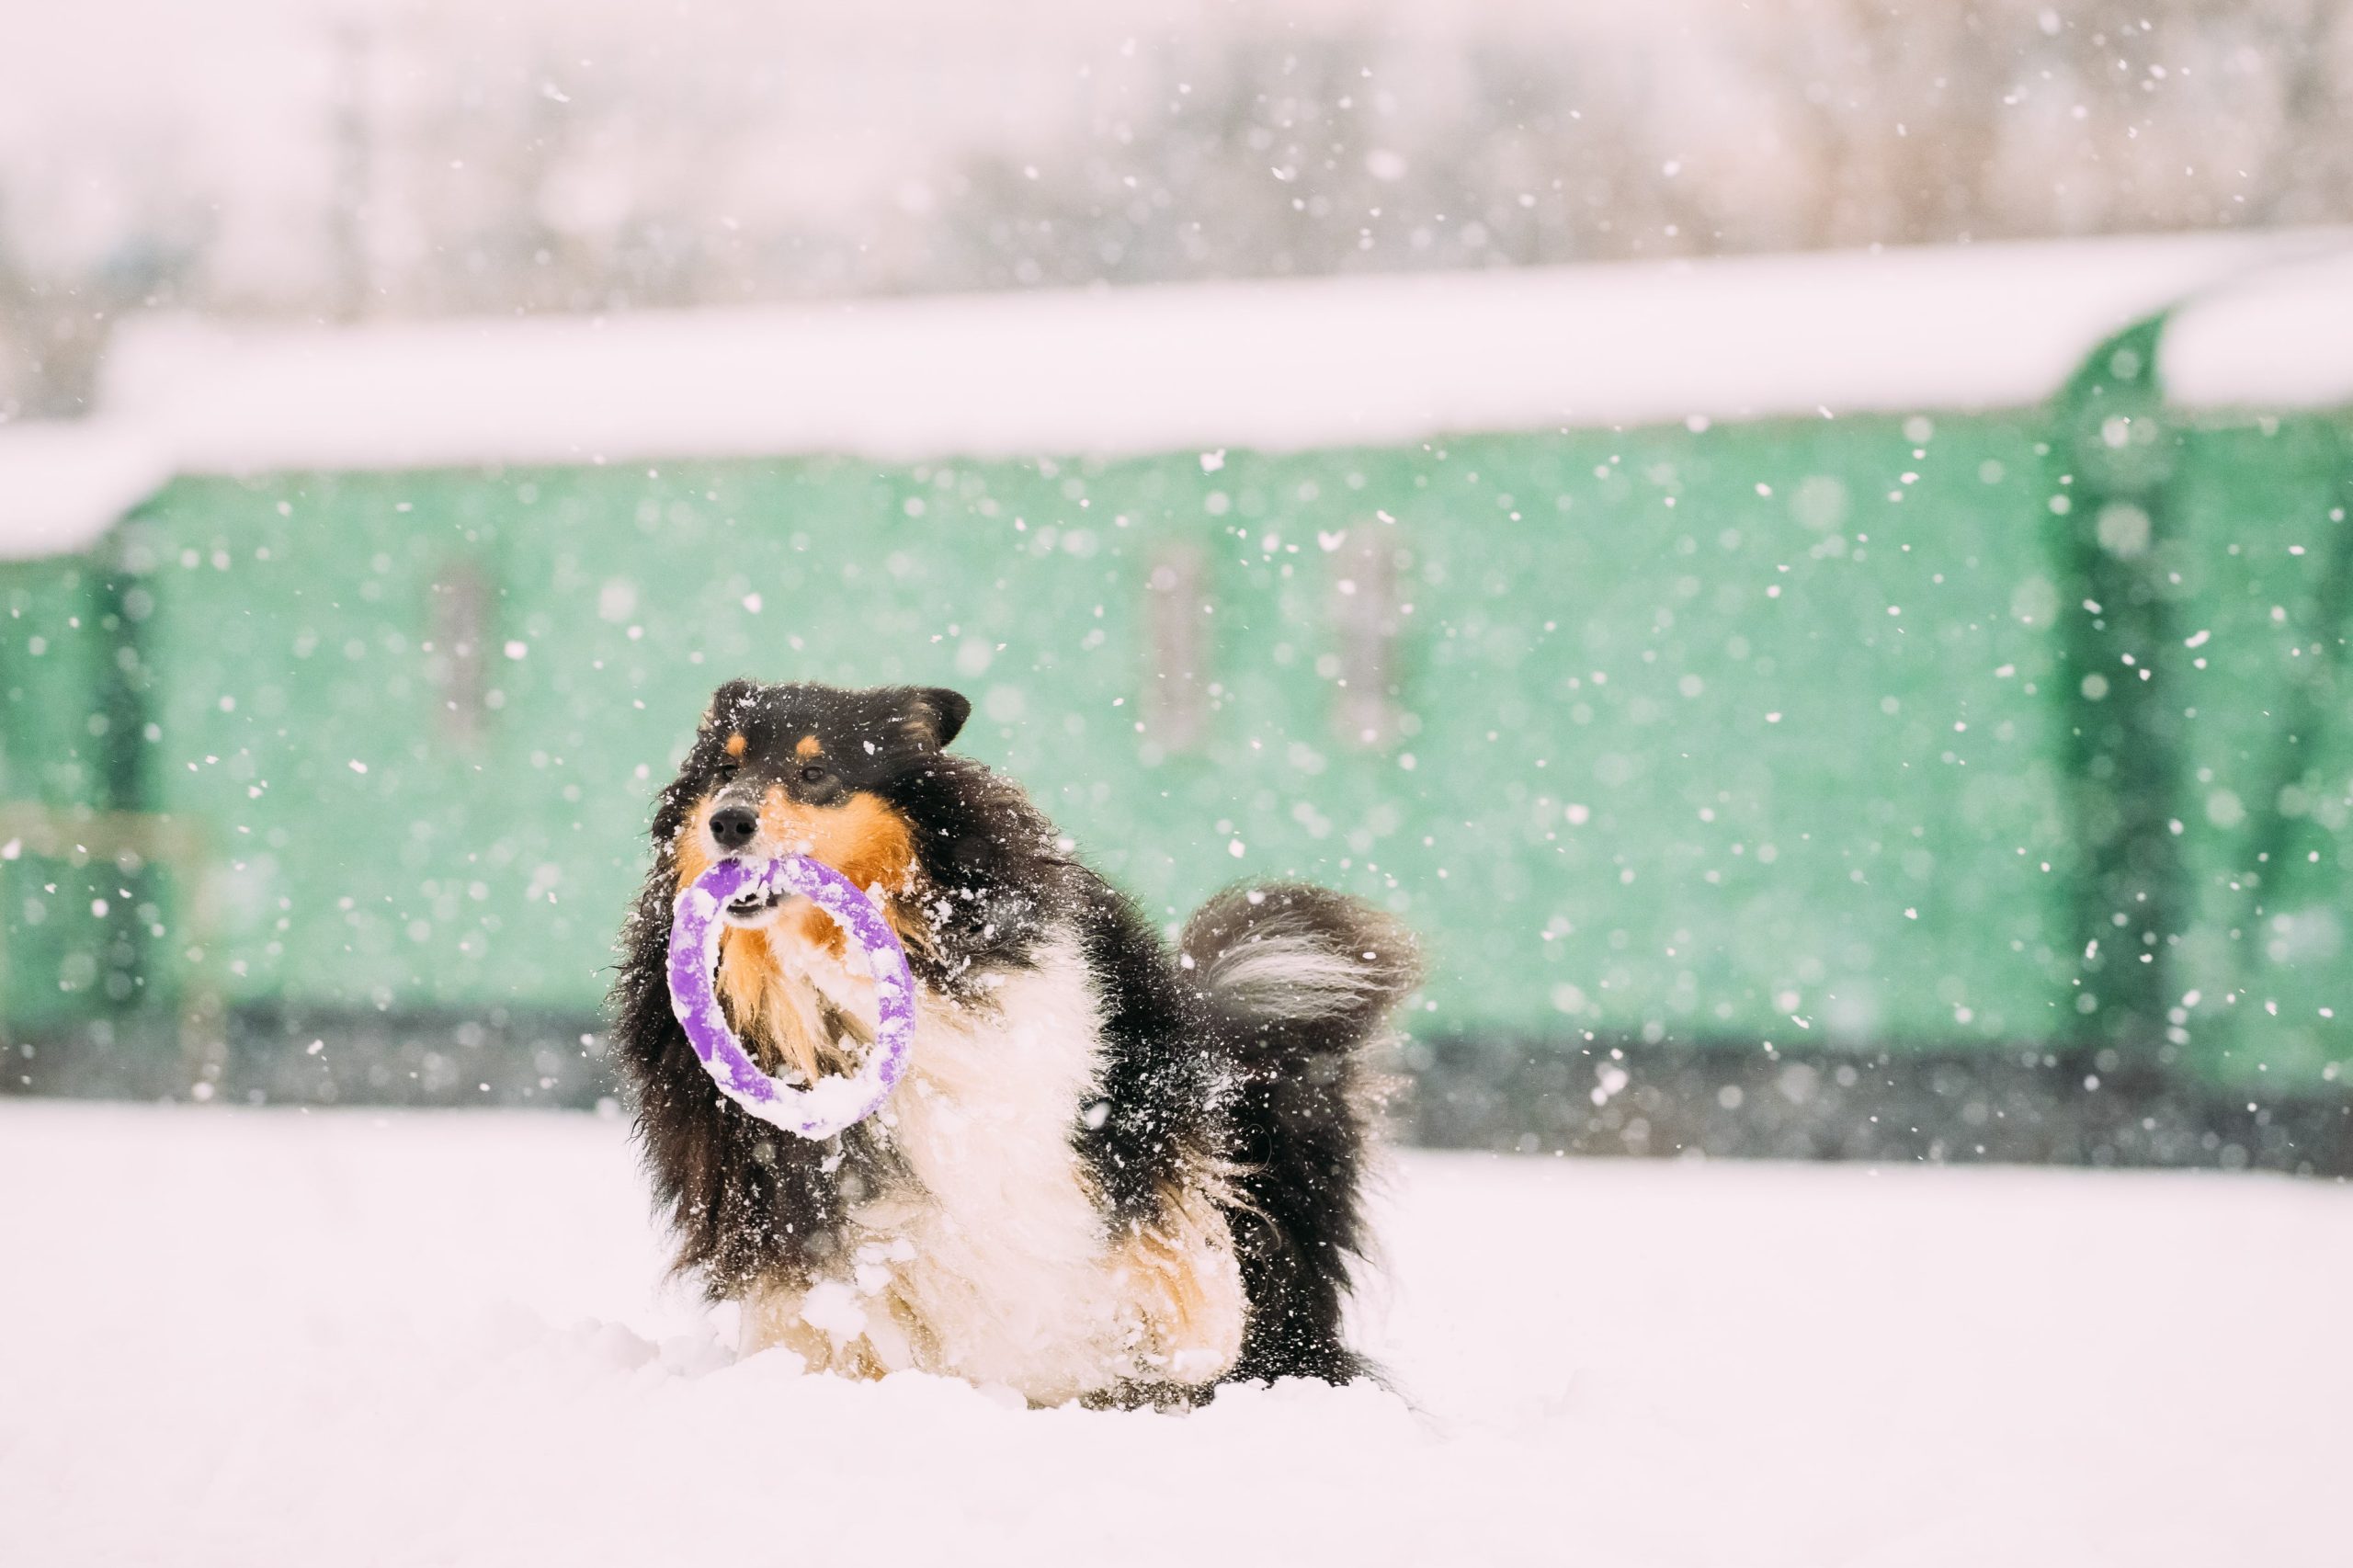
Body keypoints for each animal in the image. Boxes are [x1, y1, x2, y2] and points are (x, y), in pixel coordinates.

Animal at [611, 677, 1412, 1393]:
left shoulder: (1098, 1100)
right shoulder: (779, 1180)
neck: (818, 973)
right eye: (724, 770)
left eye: (816, 773)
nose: (728, 821)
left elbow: (1152, 1220)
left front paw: (1185, 1332)